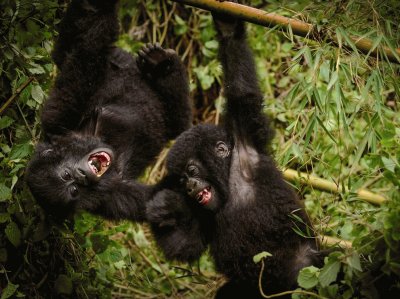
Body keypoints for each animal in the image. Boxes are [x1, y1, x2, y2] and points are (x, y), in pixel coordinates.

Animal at [25, 0, 191, 220]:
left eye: (67, 174)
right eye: (74, 189)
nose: (82, 176)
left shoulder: (57, 120)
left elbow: (86, 60)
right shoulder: (110, 200)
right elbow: (155, 201)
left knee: (68, 48)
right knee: (179, 122)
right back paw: (165, 67)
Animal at [145, 8, 324, 298]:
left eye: (192, 170)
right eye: (182, 181)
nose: (191, 186)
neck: (228, 180)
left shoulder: (246, 138)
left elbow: (241, 89)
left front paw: (227, 26)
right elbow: (186, 243)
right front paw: (163, 208)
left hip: (310, 273)